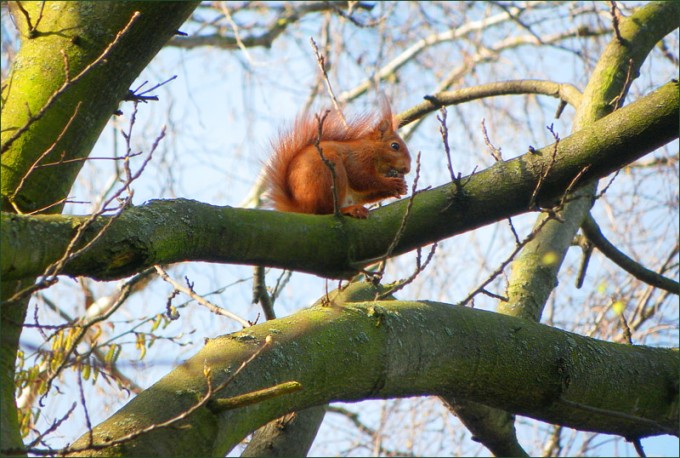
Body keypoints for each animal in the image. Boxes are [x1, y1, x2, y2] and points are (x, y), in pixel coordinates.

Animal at [265, 99, 411, 218]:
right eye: (395, 146)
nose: (408, 169)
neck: (373, 149)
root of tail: (302, 207)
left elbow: (362, 193)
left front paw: (400, 188)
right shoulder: (359, 157)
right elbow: (361, 178)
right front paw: (391, 184)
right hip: (331, 173)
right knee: (326, 210)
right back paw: (349, 210)